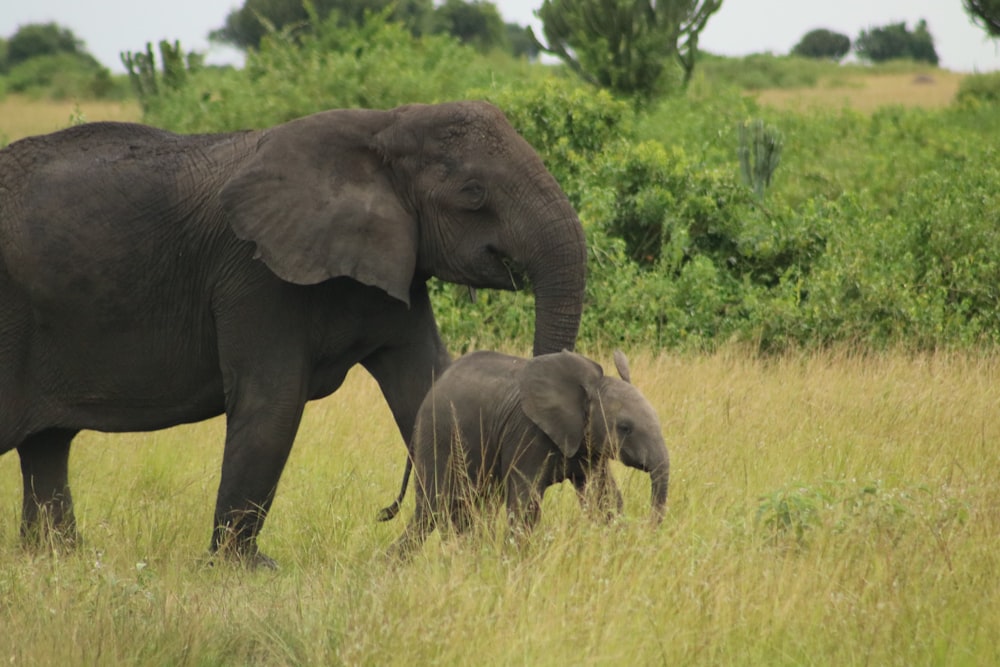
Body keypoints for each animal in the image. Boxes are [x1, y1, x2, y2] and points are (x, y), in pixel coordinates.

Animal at [0, 102, 588, 568]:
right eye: (472, 193)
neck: (381, 126)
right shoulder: (254, 273)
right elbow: (272, 407)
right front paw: (245, 571)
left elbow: (429, 388)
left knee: (47, 447)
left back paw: (60, 562)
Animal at [386, 348, 668, 560]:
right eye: (625, 428)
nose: (646, 530)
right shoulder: (527, 433)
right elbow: (526, 503)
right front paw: (516, 561)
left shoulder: (589, 444)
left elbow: (604, 497)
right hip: (439, 437)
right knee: (433, 508)